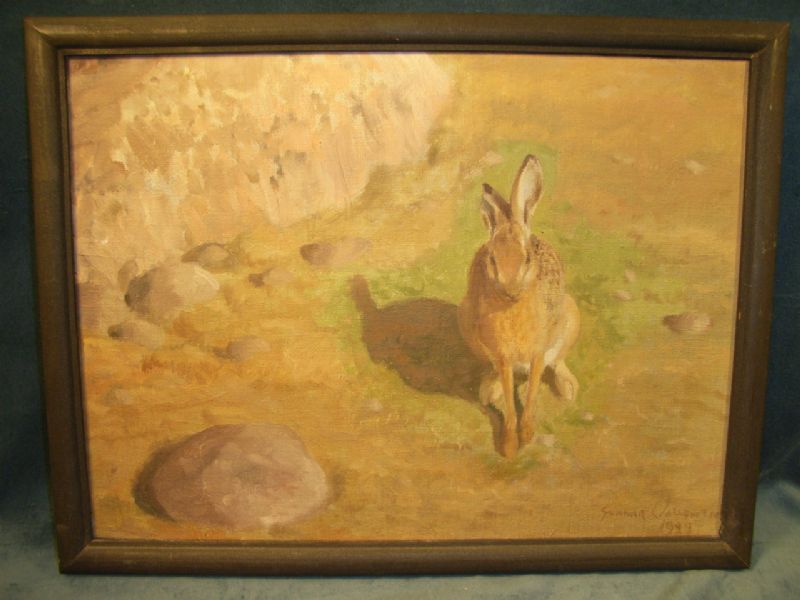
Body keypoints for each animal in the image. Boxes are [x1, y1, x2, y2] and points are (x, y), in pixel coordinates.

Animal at [458, 155, 580, 458]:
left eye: (527, 259)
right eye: (492, 259)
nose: (510, 290)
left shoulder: (538, 351)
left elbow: (533, 391)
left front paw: (526, 434)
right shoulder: (503, 357)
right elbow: (510, 401)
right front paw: (510, 445)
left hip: (571, 319)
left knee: (558, 361)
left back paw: (568, 388)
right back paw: (488, 391)